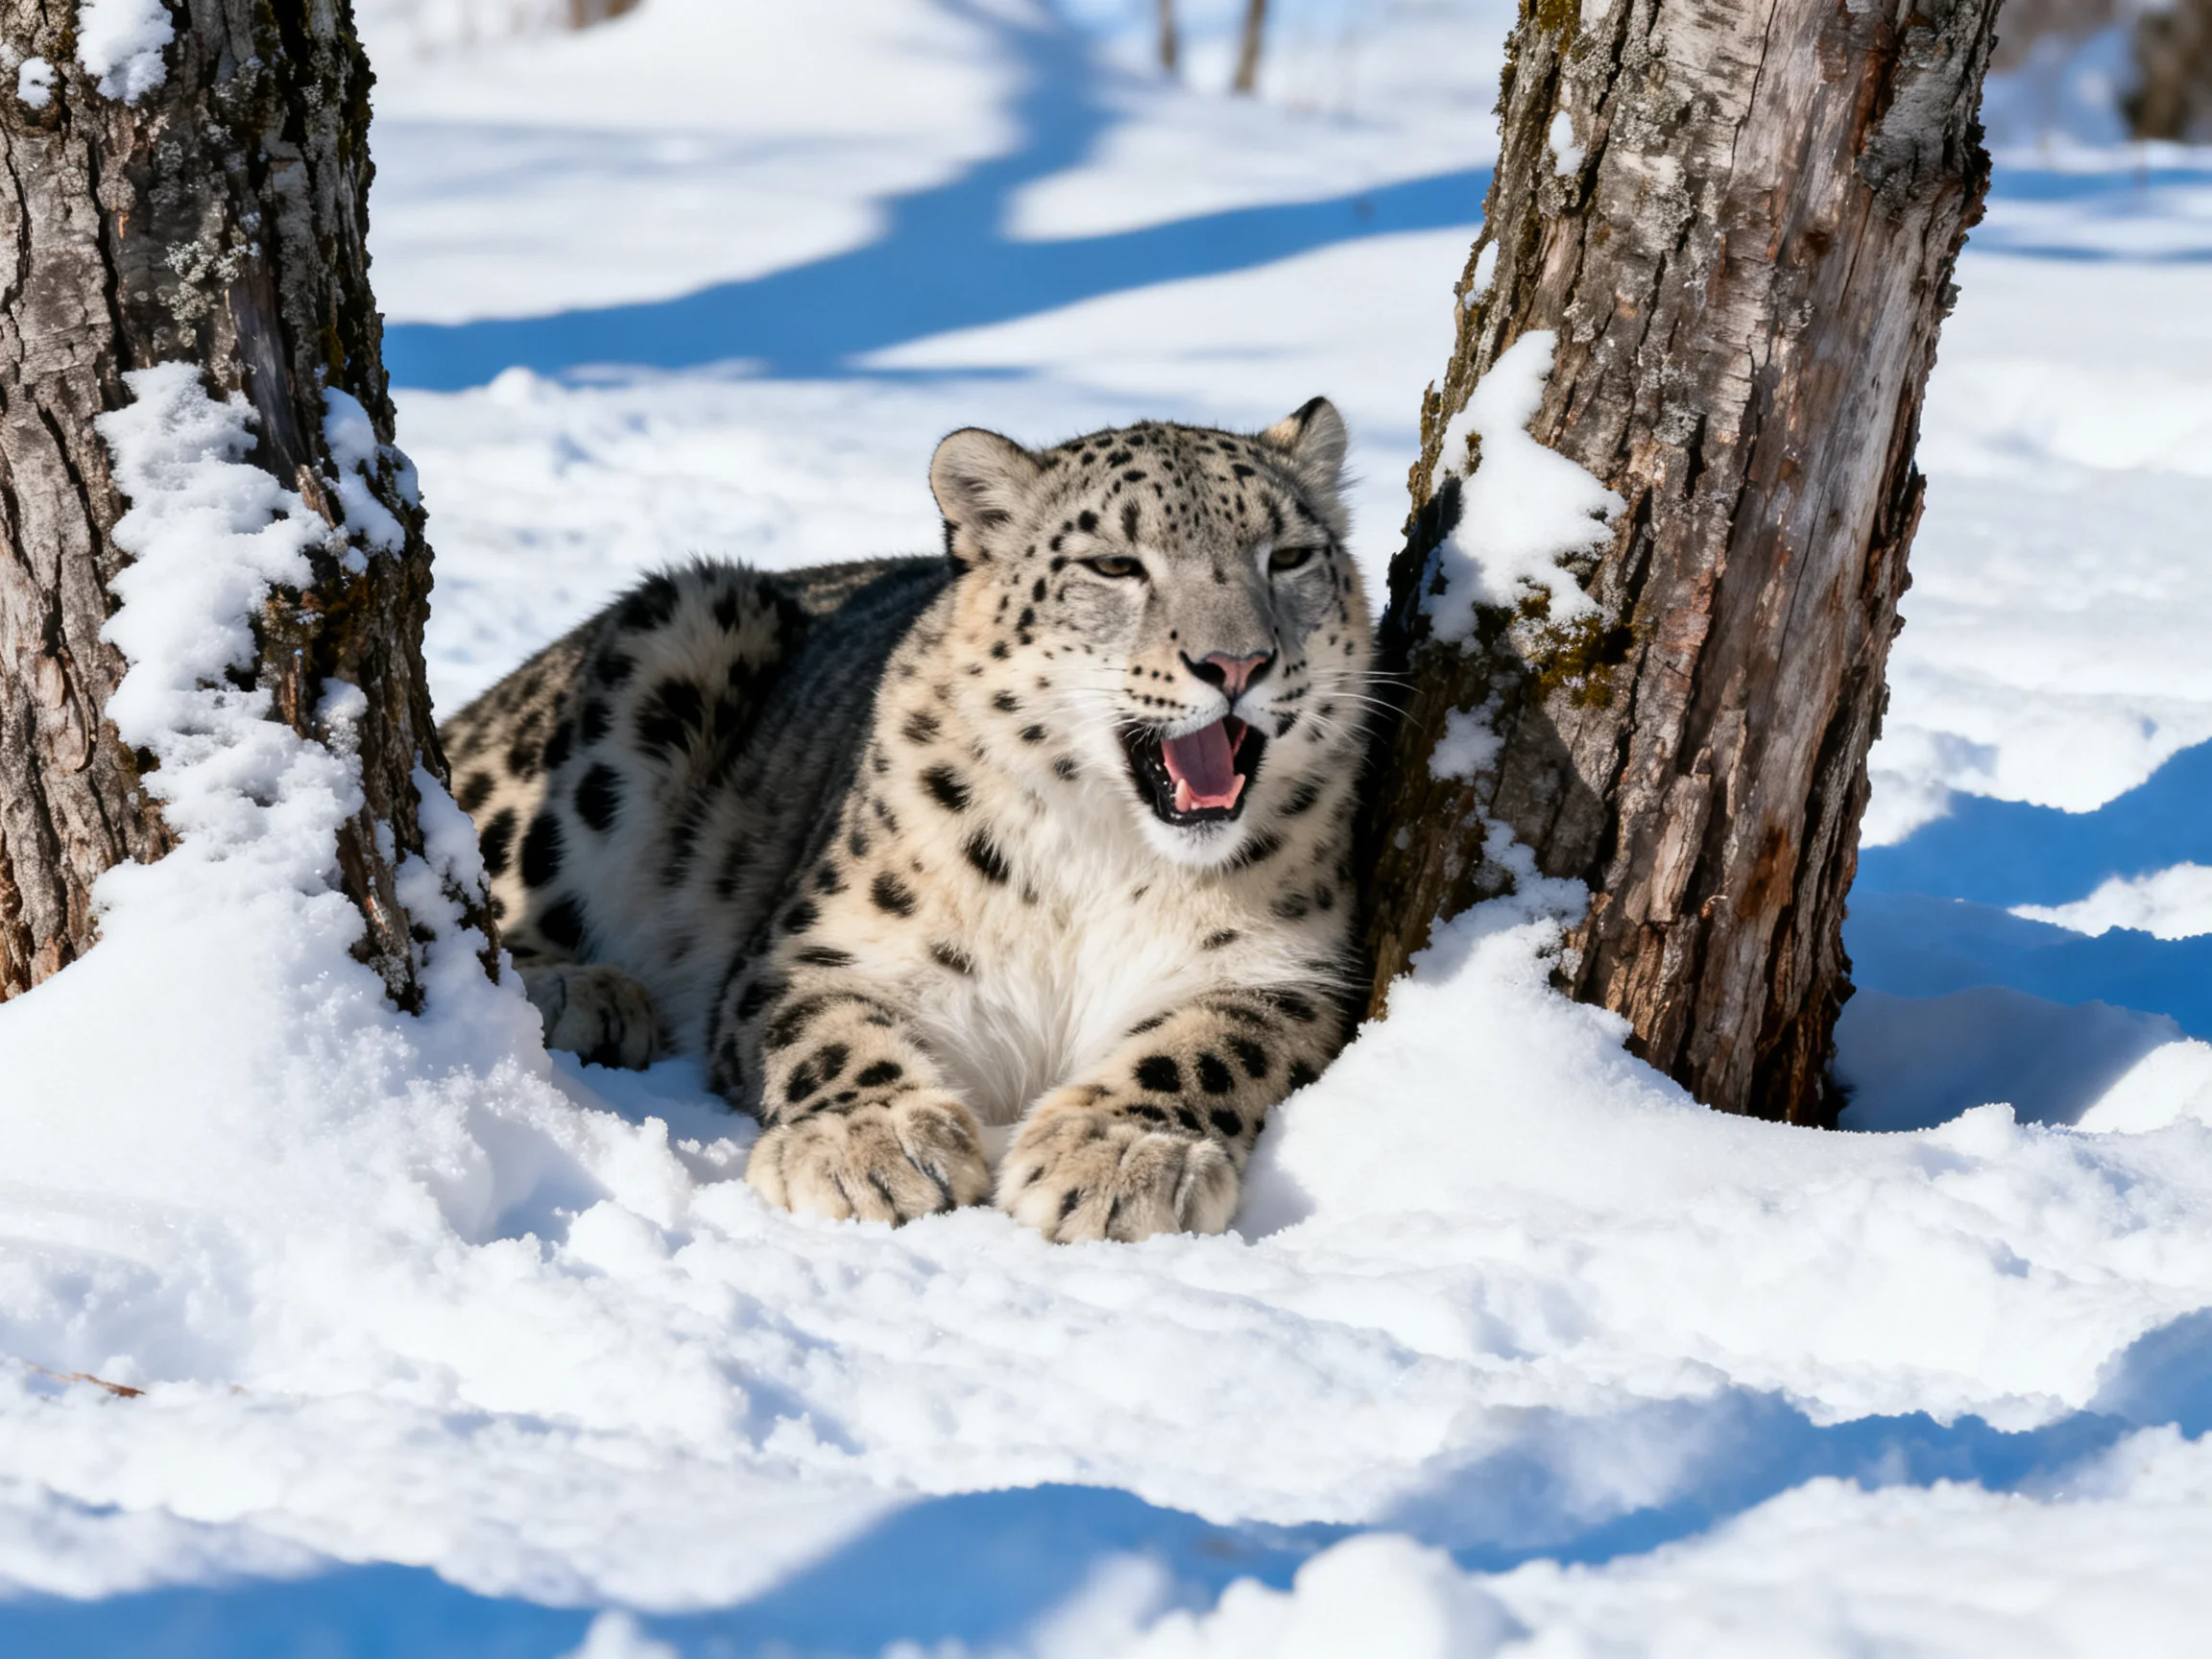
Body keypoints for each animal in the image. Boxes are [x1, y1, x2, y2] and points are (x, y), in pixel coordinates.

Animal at [437, 400, 1373, 1242]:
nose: (1237, 663)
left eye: (1290, 556)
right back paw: (587, 993)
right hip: (662, 653)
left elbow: (1211, 1044)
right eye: (1115, 565)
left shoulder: (1285, 969)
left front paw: (1119, 1156)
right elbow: (827, 1031)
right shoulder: (824, 948)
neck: (1103, 861)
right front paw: (873, 1147)